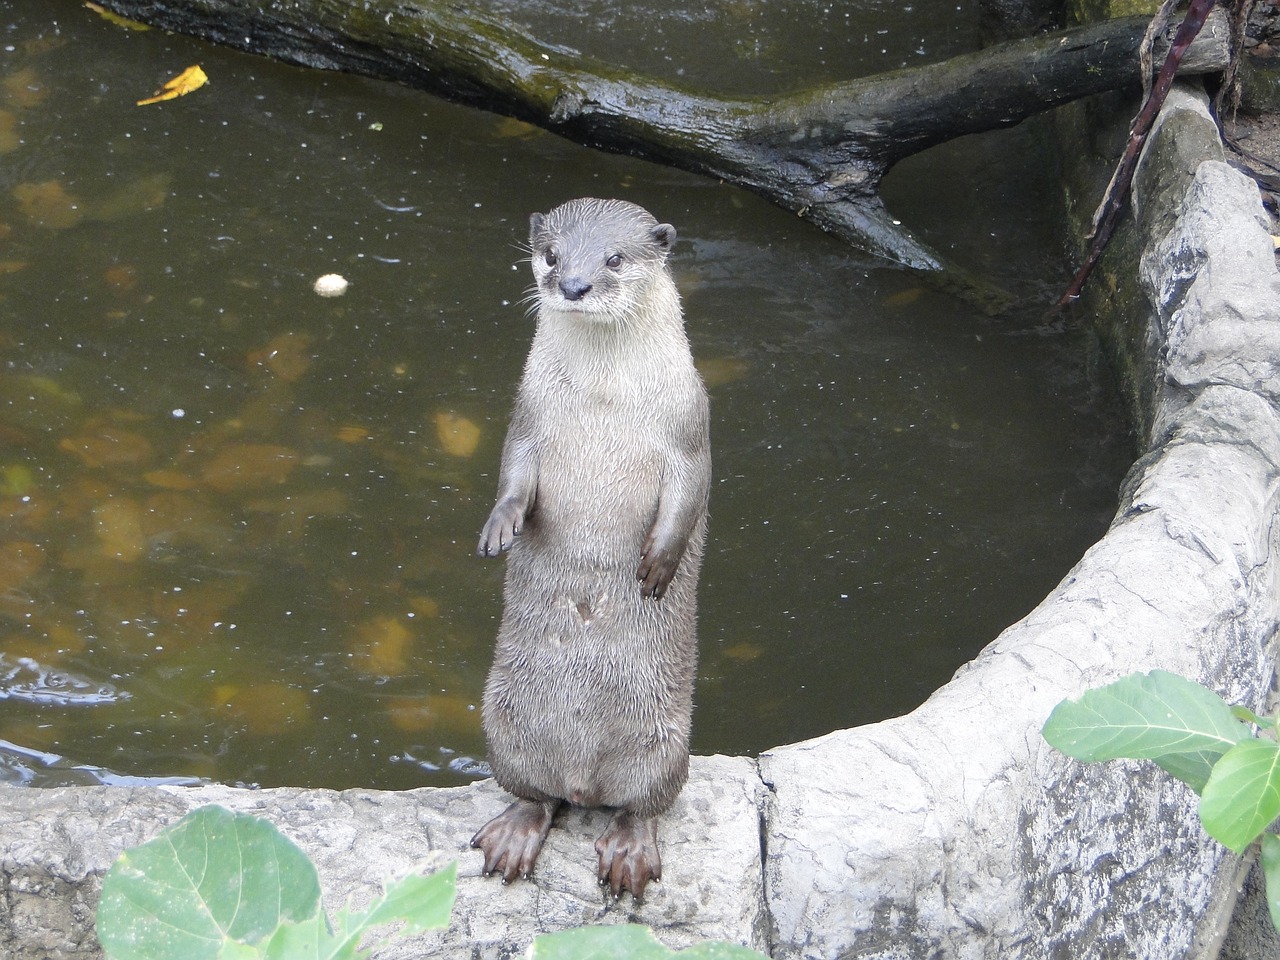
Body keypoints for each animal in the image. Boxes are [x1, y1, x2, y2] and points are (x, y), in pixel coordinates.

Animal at [473, 195, 711, 901]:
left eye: (614, 258)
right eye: (553, 254)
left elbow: (687, 495)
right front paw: (501, 525)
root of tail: (584, 779)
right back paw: (517, 831)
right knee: (536, 795)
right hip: (504, 725)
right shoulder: (527, 418)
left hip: (666, 748)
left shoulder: (691, 427)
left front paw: (658, 562)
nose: (573, 284)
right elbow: (514, 475)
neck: (604, 399)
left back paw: (629, 849)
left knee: (643, 806)